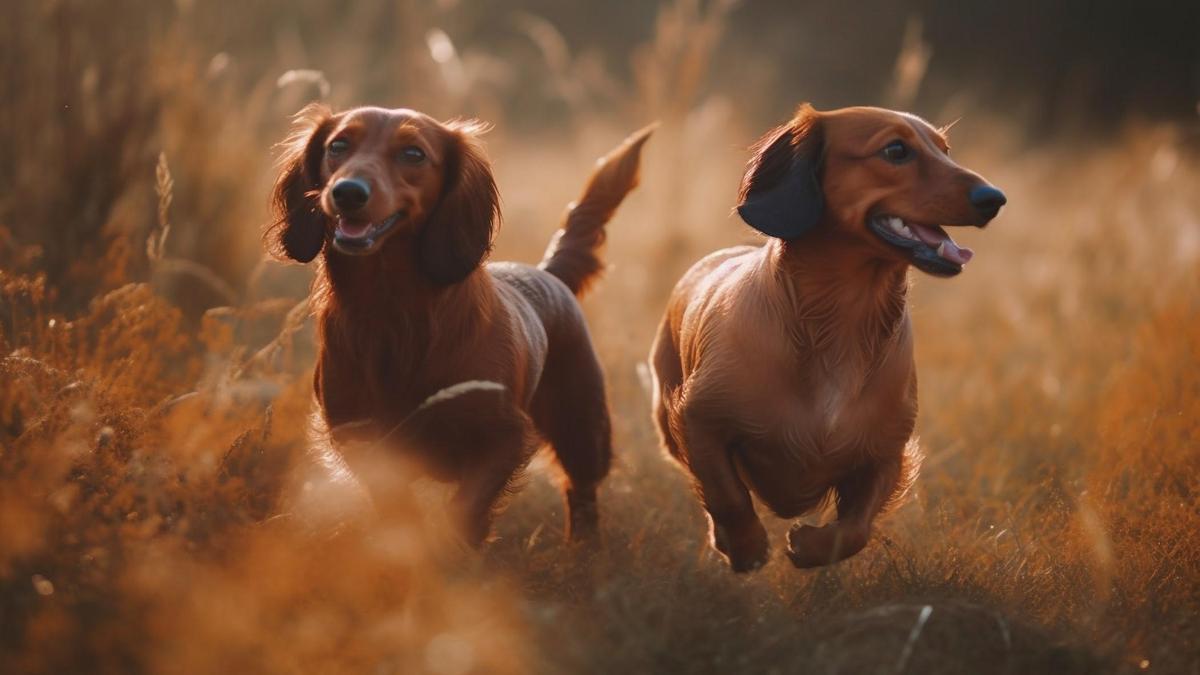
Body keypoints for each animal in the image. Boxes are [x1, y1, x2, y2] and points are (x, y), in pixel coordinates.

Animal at [270, 106, 657, 547]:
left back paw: (584, 552)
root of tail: (549, 273)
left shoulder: (505, 438)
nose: (348, 192)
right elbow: (399, 511)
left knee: (582, 493)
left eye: (414, 153)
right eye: (338, 145)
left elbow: (464, 510)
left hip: (582, 430)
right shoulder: (361, 440)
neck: (392, 315)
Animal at [652, 103, 1008, 566]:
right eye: (895, 150)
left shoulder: (886, 452)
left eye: (945, 150)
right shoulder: (699, 420)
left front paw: (808, 546)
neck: (838, 327)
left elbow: (854, 529)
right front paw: (746, 547)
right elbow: (726, 495)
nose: (994, 198)